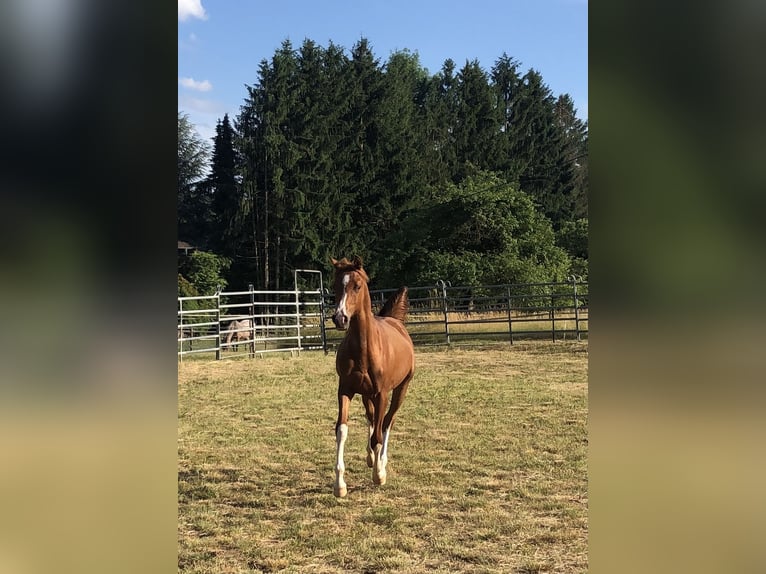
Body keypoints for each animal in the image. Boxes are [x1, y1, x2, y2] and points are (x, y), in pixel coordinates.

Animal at [330, 258, 414, 500]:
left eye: (357, 286)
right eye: (335, 286)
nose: (340, 318)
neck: (365, 348)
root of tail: (395, 320)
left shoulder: (381, 393)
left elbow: (378, 433)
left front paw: (379, 475)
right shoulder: (345, 390)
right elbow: (342, 430)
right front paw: (340, 485)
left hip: (400, 389)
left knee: (387, 422)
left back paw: (381, 463)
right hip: (366, 394)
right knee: (371, 418)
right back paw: (370, 457)